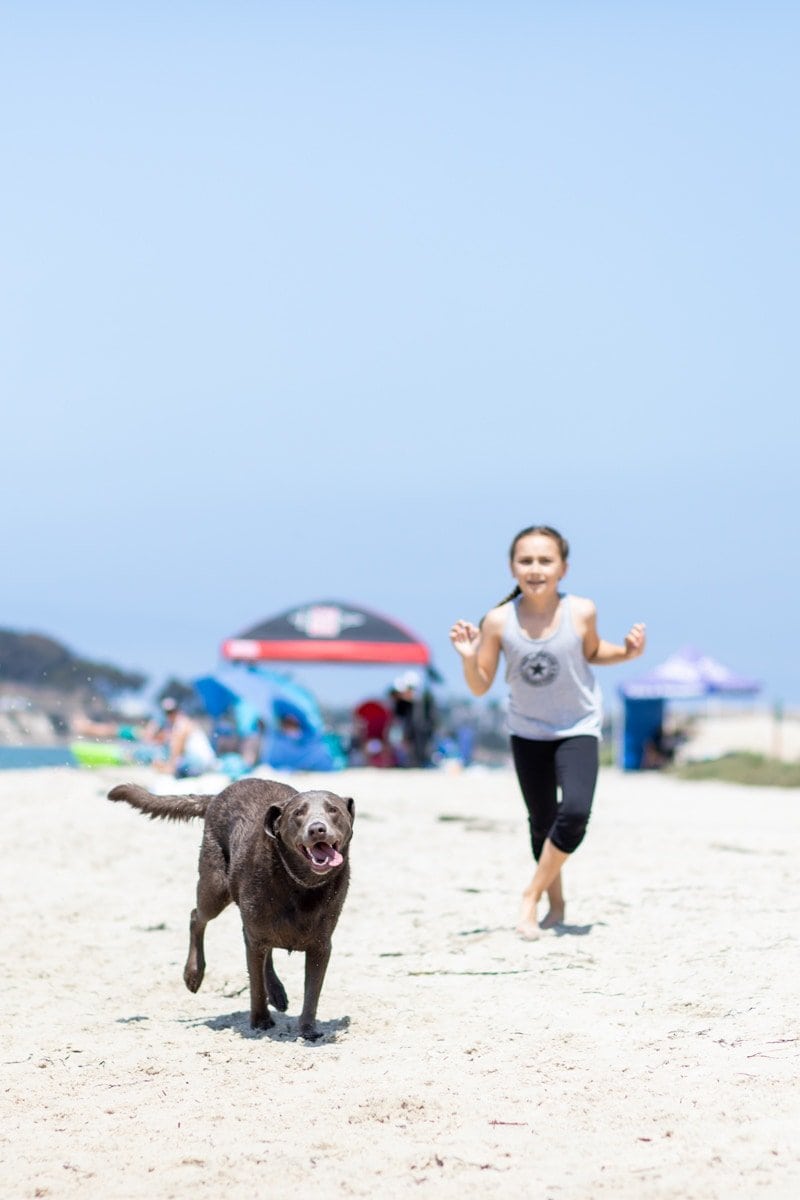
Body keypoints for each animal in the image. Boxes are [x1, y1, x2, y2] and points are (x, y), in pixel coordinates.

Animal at [106, 777, 352, 1041]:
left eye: (333, 810)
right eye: (298, 813)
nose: (317, 829)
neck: (300, 884)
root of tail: (217, 795)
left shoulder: (320, 946)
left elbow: (312, 991)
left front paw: (308, 1029)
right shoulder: (257, 932)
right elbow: (255, 984)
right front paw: (260, 1021)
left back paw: (276, 992)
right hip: (214, 888)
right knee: (197, 917)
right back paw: (193, 973)